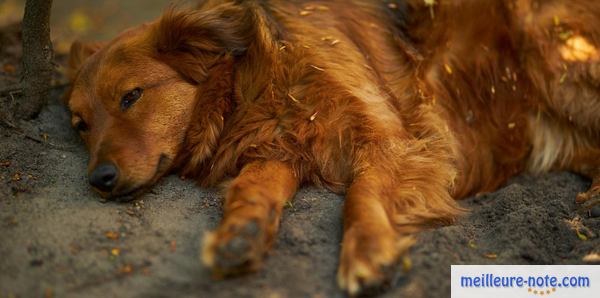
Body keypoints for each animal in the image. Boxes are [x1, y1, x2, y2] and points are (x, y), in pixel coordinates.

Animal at [65, 0, 600, 296]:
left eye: (131, 96)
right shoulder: (281, 146)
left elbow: (361, 194)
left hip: (554, 56)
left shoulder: (389, 138)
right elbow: (250, 188)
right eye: (79, 125)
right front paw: (240, 232)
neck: (253, 72)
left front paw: (368, 250)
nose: (99, 180)